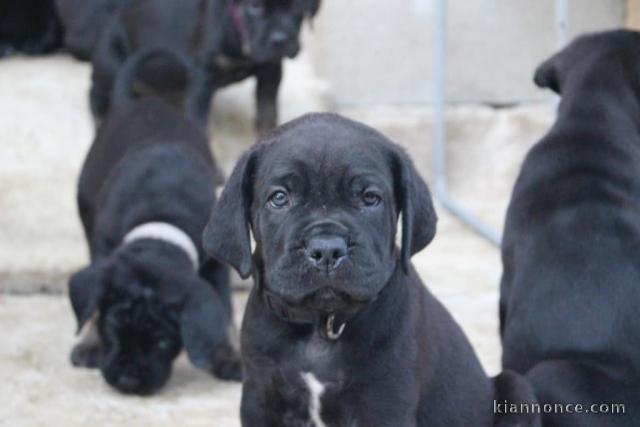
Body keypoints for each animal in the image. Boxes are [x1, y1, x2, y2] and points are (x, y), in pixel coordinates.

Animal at [69, 51, 240, 398]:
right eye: (112, 330)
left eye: (163, 342)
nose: (129, 380)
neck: (161, 220)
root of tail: (134, 102)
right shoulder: (104, 248)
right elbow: (95, 299)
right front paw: (91, 343)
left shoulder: (216, 261)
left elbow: (225, 306)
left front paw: (228, 355)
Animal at [90, 0, 320, 132]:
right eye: (255, 6)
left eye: (298, 8)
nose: (280, 39)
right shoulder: (203, 76)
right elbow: (201, 123)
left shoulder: (270, 71)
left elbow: (267, 113)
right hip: (111, 64)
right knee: (97, 93)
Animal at [204, 113, 540, 427]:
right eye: (279, 198)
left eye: (370, 198)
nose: (327, 249)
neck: (321, 327)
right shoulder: (261, 399)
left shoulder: (385, 402)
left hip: (517, 391)